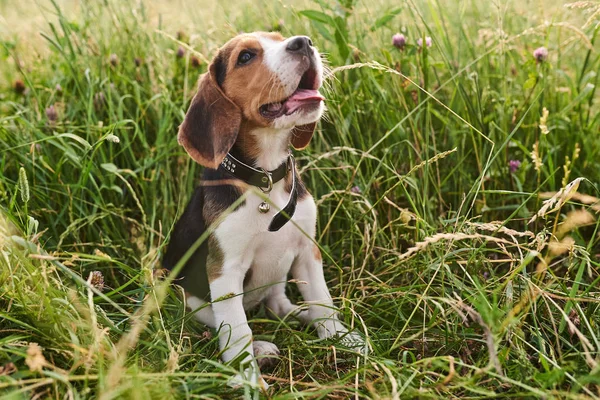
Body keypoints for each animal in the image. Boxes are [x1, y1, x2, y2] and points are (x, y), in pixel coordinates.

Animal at [164, 31, 358, 384]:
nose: (303, 42)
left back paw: (300, 315)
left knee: (278, 305)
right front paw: (249, 378)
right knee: (222, 322)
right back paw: (262, 349)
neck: (264, 178)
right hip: (188, 299)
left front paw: (342, 337)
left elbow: (323, 300)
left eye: (279, 39)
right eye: (245, 57)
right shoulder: (224, 271)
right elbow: (238, 330)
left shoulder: (308, 251)